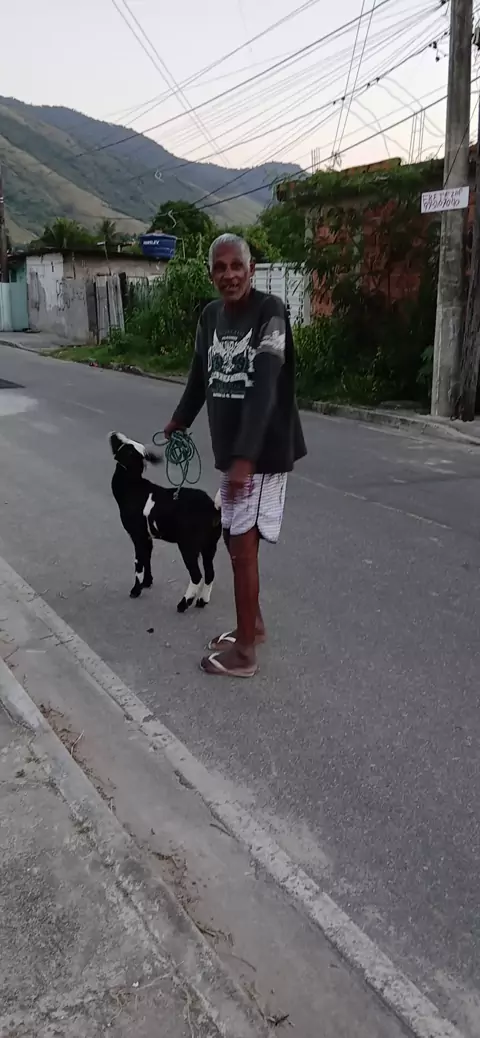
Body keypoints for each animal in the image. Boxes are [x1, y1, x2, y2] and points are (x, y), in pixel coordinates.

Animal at [109, 432, 222, 611]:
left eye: (125, 445)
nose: (114, 434)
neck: (133, 488)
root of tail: (213, 508)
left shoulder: (137, 535)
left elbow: (138, 563)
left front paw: (135, 590)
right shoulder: (147, 537)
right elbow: (147, 558)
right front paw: (147, 582)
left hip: (189, 546)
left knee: (197, 575)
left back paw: (184, 603)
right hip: (210, 545)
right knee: (210, 573)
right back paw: (202, 601)